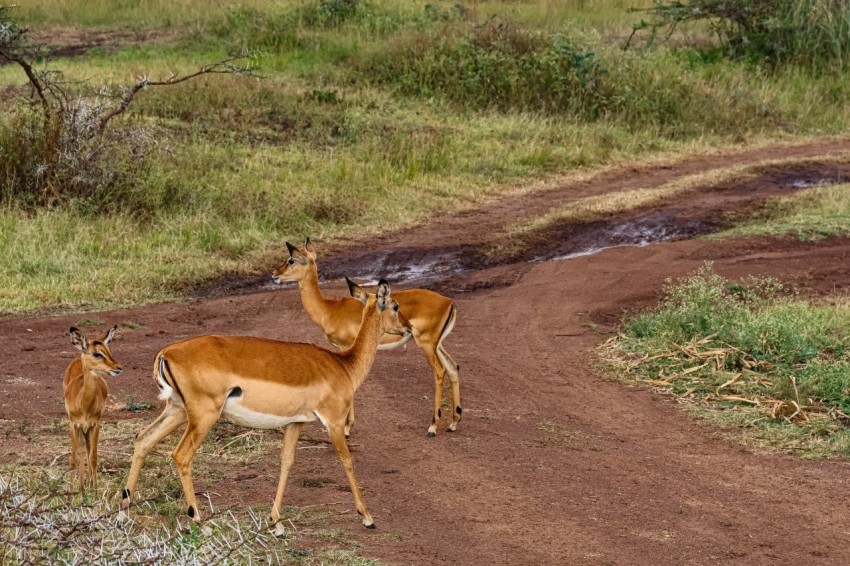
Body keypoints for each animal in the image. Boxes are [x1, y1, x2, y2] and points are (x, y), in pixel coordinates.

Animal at [63, 325, 122, 494]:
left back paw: (87, 485)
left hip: (87, 428)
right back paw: (82, 488)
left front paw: (95, 493)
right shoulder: (73, 425)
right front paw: (72, 495)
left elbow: (93, 457)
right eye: (97, 353)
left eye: (109, 350)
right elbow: (73, 459)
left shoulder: (95, 424)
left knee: (87, 450)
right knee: (82, 451)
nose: (118, 368)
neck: (84, 405)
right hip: (80, 428)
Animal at [119, 279, 411, 533]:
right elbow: (347, 460)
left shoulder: (296, 422)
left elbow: (286, 462)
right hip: (203, 416)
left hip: (177, 410)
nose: (409, 328)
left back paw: (123, 514)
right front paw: (368, 517)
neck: (343, 365)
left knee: (143, 439)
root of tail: (166, 353)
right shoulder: (334, 422)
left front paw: (277, 523)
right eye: (396, 306)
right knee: (181, 455)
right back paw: (198, 519)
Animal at [272, 237, 462, 437]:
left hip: (426, 344)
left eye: (291, 260)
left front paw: (347, 428)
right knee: (453, 367)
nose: (274, 274)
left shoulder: (345, 346)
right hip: (437, 345)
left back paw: (433, 426)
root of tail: (449, 302)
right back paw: (453, 423)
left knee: (439, 371)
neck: (328, 309)